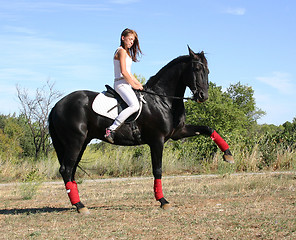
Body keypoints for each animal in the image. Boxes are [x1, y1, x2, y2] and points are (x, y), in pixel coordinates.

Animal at [48, 47, 234, 214]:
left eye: (207, 70)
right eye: (196, 69)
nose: (203, 96)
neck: (162, 100)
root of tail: (57, 105)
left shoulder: (178, 132)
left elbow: (208, 128)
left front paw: (228, 154)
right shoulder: (157, 140)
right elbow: (157, 170)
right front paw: (163, 201)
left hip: (82, 143)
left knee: (70, 170)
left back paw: (78, 204)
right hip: (75, 142)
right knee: (66, 170)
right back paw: (80, 206)